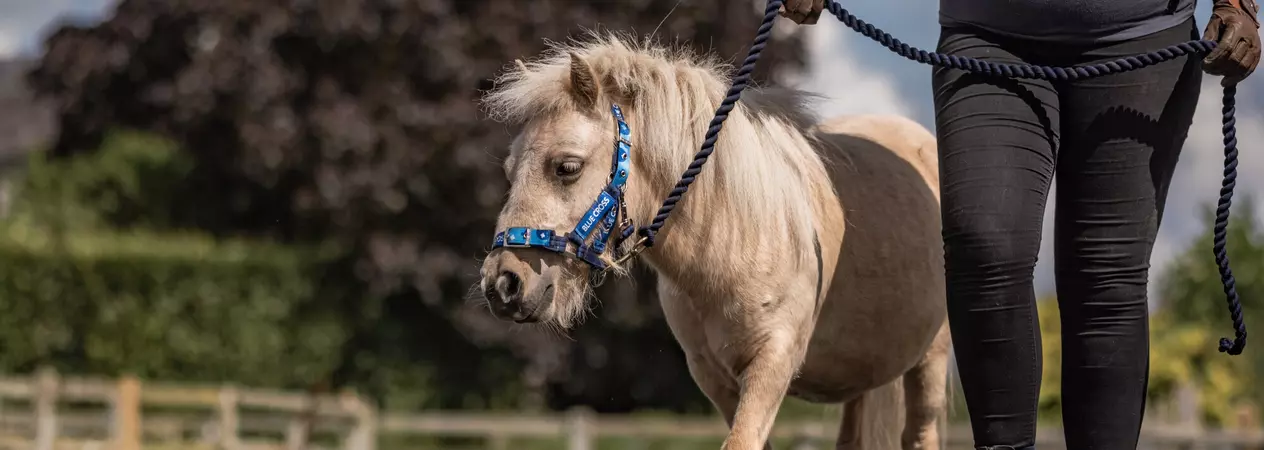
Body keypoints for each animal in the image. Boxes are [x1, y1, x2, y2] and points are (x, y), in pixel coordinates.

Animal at [476, 33, 952, 450]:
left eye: (567, 167)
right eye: (509, 170)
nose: (503, 284)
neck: (736, 238)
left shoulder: (774, 361)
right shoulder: (712, 376)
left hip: (930, 362)